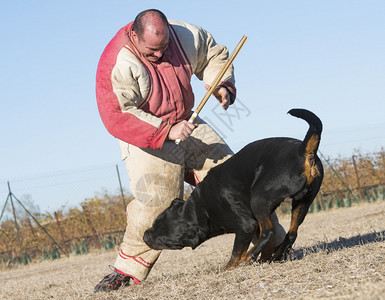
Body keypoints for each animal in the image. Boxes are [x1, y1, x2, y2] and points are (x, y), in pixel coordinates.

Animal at [142, 108, 322, 270]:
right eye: (155, 221)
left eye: (165, 240)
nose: (144, 236)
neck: (200, 208)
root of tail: (302, 150)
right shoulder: (254, 224)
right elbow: (266, 247)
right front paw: (264, 260)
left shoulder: (246, 226)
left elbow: (237, 253)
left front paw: (229, 267)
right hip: (302, 201)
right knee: (291, 233)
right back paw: (276, 256)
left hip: (259, 198)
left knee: (269, 231)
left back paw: (250, 256)